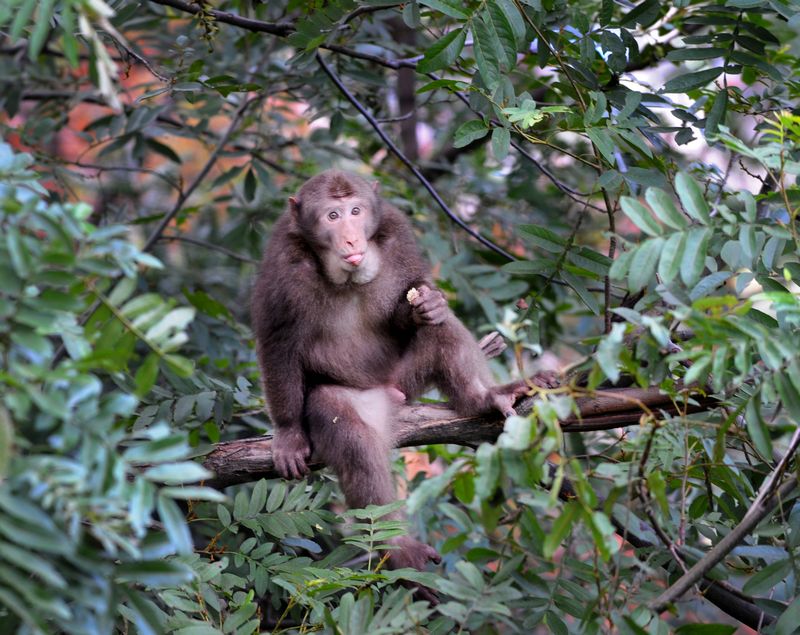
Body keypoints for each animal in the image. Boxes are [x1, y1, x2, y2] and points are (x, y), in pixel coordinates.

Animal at [250, 169, 536, 576]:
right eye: (332, 216)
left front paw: (426, 306)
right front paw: (288, 432)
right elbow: (279, 343)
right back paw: (395, 545)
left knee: (440, 330)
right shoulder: (284, 264)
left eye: (356, 211)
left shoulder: (396, 233)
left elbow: (413, 302)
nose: (352, 238)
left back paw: (484, 397)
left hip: (405, 378)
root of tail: (387, 393)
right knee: (345, 427)